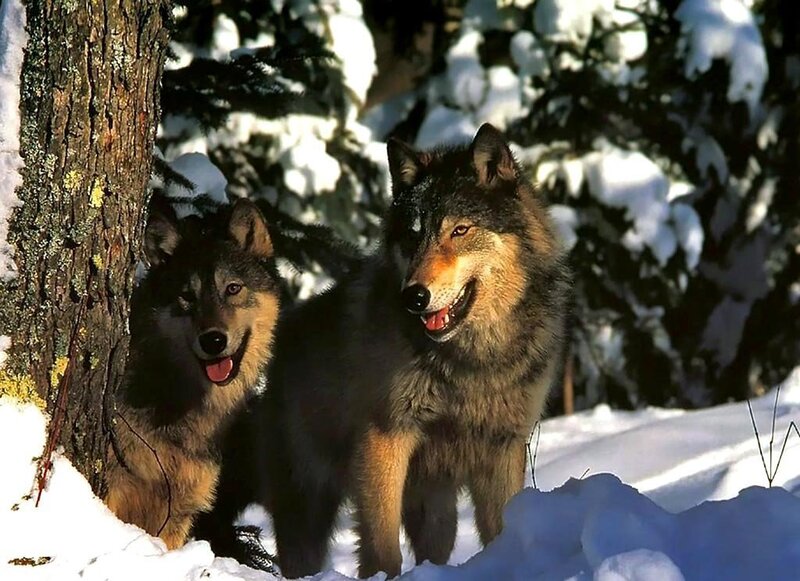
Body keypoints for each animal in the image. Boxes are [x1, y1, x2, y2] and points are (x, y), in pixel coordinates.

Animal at [198, 123, 572, 578]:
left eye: (459, 231)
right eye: (413, 236)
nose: (414, 296)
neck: (470, 361)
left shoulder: (503, 447)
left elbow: (501, 528)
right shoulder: (385, 437)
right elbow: (381, 545)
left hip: (436, 511)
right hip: (308, 509)